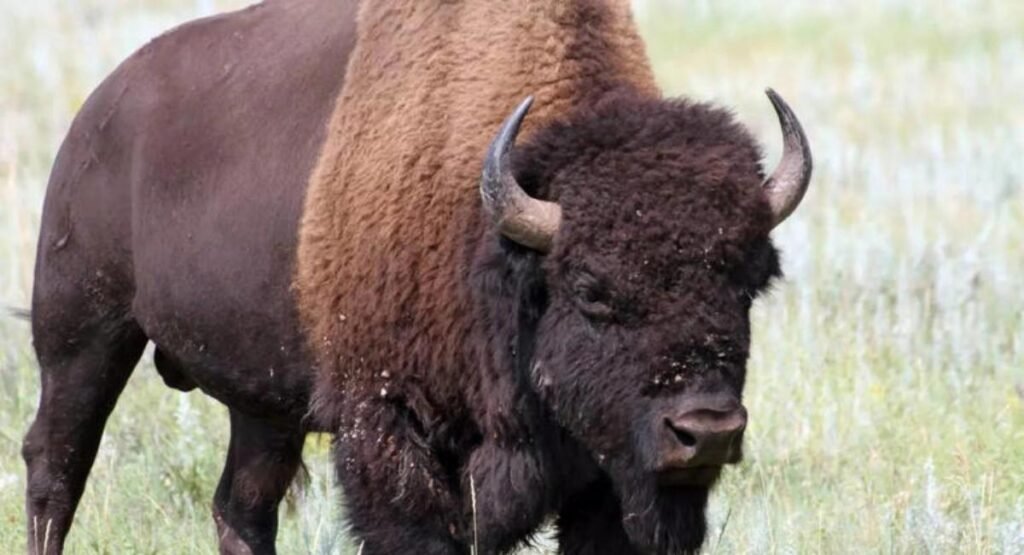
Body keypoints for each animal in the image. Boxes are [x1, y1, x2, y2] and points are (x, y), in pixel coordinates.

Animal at [23, 1, 811, 554]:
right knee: (54, 466)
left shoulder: (607, 473)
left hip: (263, 402)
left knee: (240, 505)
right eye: (591, 290)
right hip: (82, 335)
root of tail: (100, 111)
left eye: (750, 283)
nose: (706, 432)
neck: (494, 242)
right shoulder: (387, 429)